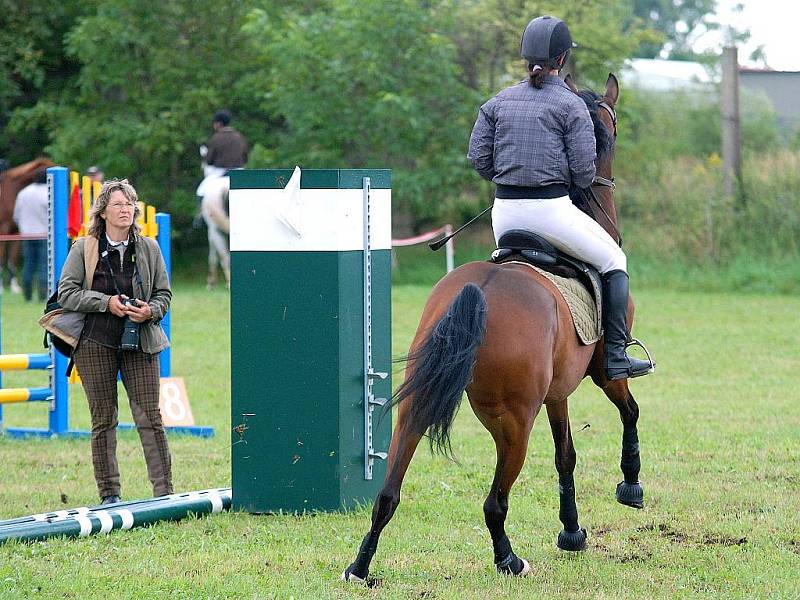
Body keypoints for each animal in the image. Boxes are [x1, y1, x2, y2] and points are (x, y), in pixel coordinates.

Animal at [0, 158, 54, 292]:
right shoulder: (3, 229)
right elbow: (2, 257)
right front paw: (2, 287)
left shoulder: (16, 231)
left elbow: (13, 258)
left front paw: (14, 286)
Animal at [342, 74, 644, 580]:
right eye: (613, 127)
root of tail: (480, 289)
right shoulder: (604, 372)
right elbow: (629, 413)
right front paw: (630, 485)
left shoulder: (557, 393)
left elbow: (566, 456)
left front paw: (572, 533)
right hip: (513, 424)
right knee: (494, 502)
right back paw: (508, 559)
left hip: (418, 406)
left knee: (387, 494)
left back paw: (361, 566)